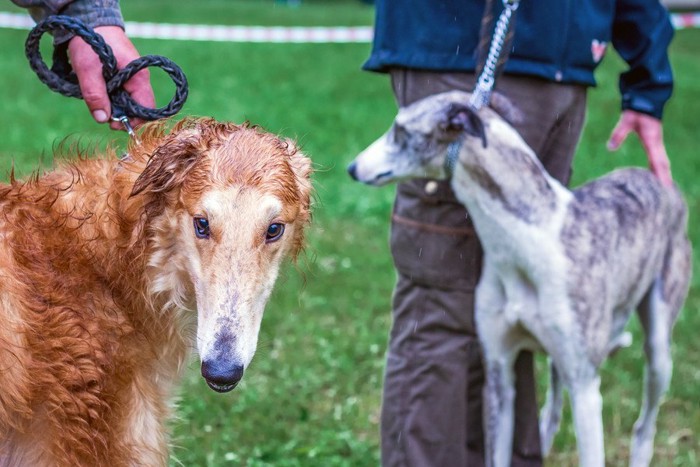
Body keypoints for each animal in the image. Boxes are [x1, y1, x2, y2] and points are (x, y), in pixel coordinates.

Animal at [348, 91, 692, 467]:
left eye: (399, 130)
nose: (352, 167)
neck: (528, 239)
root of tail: (661, 182)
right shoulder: (499, 374)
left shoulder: (585, 386)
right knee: (552, 412)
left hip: (657, 349)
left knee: (644, 425)